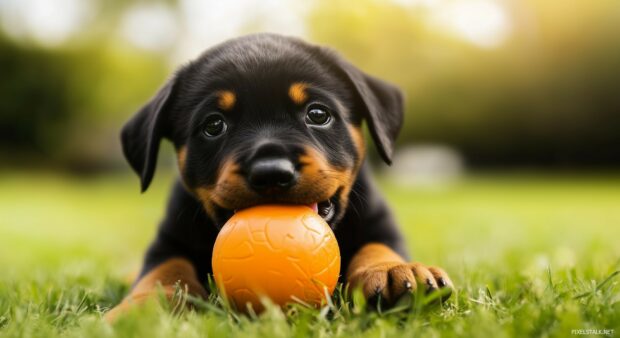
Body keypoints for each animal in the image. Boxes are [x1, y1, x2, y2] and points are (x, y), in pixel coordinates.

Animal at [106, 33, 452, 320]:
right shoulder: (169, 239)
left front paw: (395, 270)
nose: (271, 173)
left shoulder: (379, 221)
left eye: (318, 114)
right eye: (214, 125)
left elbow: (376, 246)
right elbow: (164, 271)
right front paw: (140, 308)